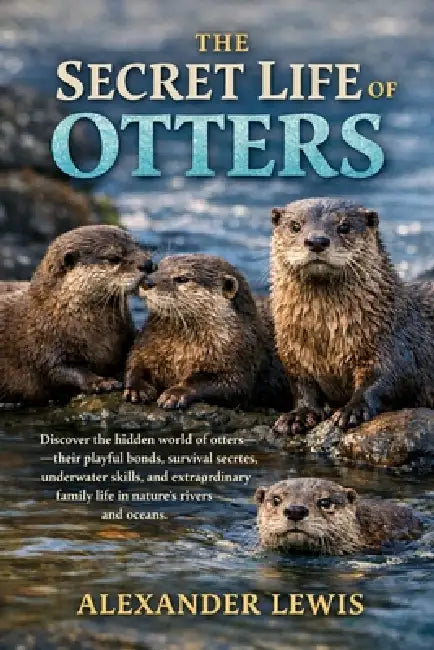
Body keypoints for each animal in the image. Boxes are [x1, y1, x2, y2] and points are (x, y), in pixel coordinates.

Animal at [0, 225, 153, 404]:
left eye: (138, 245)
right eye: (113, 258)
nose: (148, 264)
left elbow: (136, 354)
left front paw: (137, 386)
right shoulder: (41, 347)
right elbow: (60, 370)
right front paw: (99, 381)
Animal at [124, 254, 290, 410]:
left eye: (182, 278)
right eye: (157, 268)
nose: (147, 282)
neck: (181, 352)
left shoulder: (241, 360)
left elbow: (229, 385)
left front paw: (176, 393)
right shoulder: (145, 344)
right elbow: (135, 361)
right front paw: (136, 388)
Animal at [270, 197, 434, 434]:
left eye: (344, 226)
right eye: (295, 226)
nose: (317, 241)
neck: (327, 340)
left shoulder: (392, 345)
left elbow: (383, 379)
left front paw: (352, 410)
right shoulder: (293, 355)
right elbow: (302, 386)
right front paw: (298, 415)